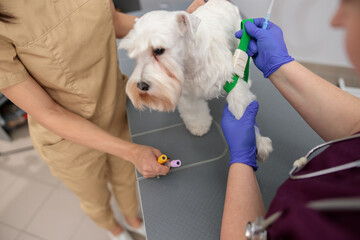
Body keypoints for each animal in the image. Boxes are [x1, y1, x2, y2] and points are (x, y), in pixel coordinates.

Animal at [119, 0, 272, 161]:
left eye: (159, 50)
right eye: (135, 55)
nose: (141, 86)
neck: (189, 64)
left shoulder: (232, 82)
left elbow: (241, 109)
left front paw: (256, 142)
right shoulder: (187, 94)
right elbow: (194, 111)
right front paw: (199, 125)